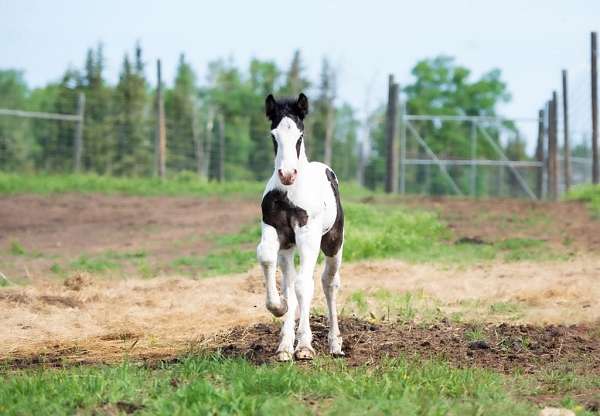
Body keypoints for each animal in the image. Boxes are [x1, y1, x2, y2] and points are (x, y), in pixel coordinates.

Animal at [255, 92, 344, 360]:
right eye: (274, 135)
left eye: (300, 136)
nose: (287, 174)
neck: (288, 192)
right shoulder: (275, 230)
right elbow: (268, 259)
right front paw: (279, 309)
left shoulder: (308, 235)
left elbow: (305, 285)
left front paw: (304, 346)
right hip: (287, 249)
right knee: (290, 282)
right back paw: (286, 345)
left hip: (333, 242)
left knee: (328, 282)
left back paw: (335, 344)